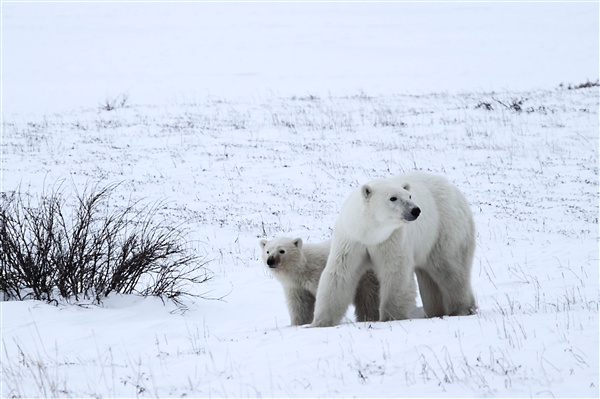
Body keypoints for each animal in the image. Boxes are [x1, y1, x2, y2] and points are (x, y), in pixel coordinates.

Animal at [312, 172, 476, 328]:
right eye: (393, 198)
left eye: (409, 195)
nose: (415, 210)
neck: (370, 233)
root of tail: (456, 191)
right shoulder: (352, 238)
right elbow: (340, 273)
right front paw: (319, 322)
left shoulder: (392, 238)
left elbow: (395, 271)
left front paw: (391, 317)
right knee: (428, 276)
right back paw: (435, 312)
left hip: (444, 228)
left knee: (449, 268)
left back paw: (462, 309)